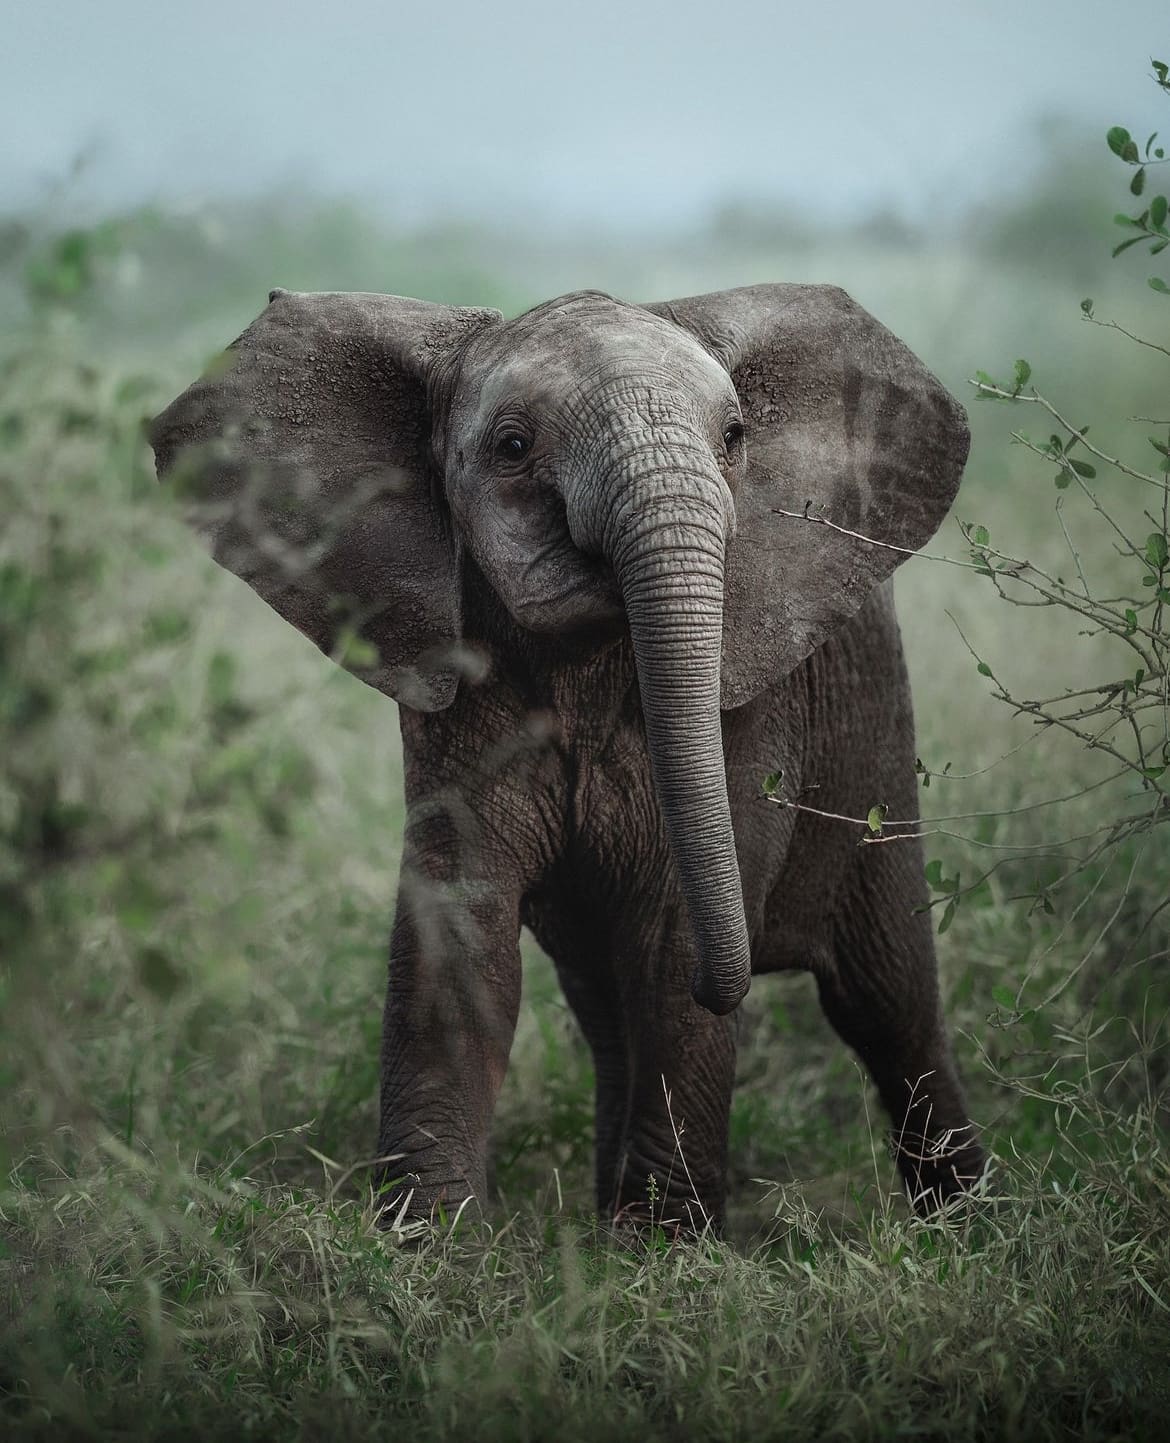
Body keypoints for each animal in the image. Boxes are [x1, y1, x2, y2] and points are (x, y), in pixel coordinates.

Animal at [150, 284, 981, 1229]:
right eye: (513, 448)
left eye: (735, 438)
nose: (733, 981)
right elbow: (460, 932)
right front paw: (428, 1240)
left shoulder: (752, 706)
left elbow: (673, 940)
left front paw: (662, 1247)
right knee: (609, 1006)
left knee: (887, 1000)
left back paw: (963, 1225)